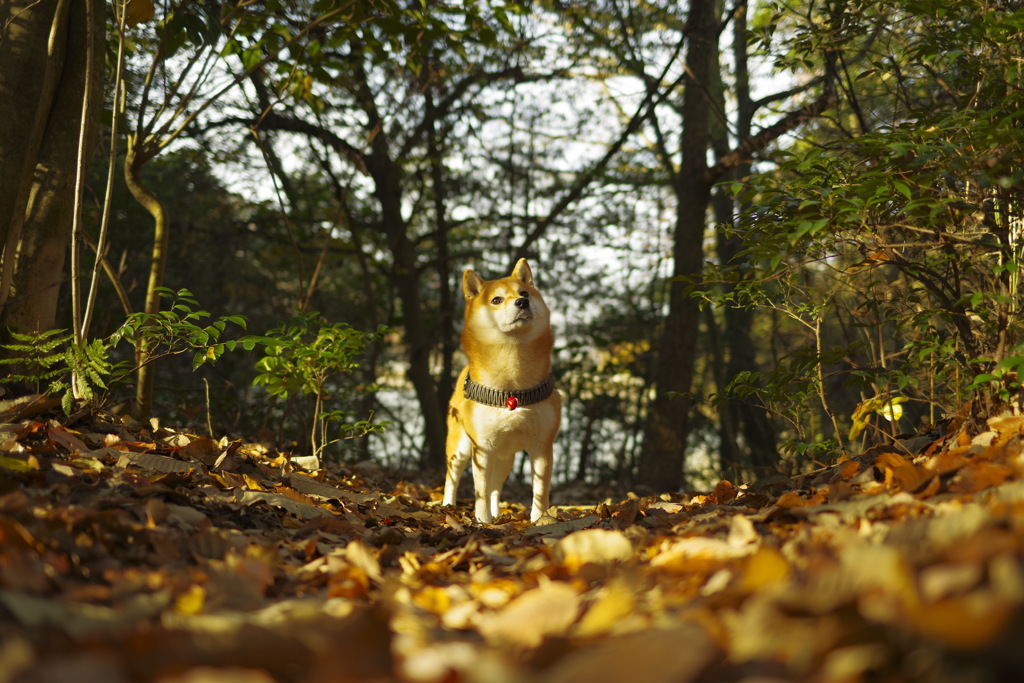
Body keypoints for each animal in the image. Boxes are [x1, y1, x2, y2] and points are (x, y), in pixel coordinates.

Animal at [442, 258, 561, 524]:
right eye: (496, 300)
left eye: (524, 293)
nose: (522, 302)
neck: (512, 385)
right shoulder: (482, 448)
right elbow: (480, 490)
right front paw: (482, 520)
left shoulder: (542, 446)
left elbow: (540, 490)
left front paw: (538, 520)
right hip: (460, 448)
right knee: (452, 478)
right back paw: (447, 505)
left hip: (505, 457)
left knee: (496, 487)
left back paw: (497, 512)